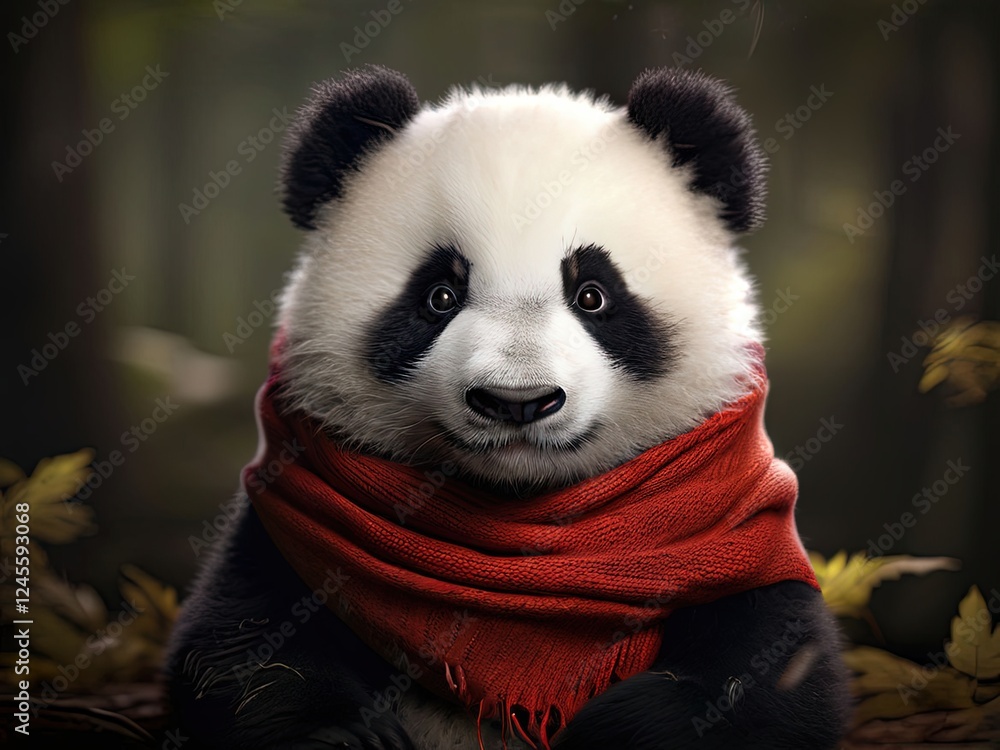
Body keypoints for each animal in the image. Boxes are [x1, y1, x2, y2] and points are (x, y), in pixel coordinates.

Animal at [165, 65, 852, 750]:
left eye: (593, 294)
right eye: (439, 295)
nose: (516, 400)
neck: (522, 521)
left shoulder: (734, 545)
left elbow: (776, 685)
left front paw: (614, 731)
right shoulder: (288, 536)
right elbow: (238, 655)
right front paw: (352, 735)